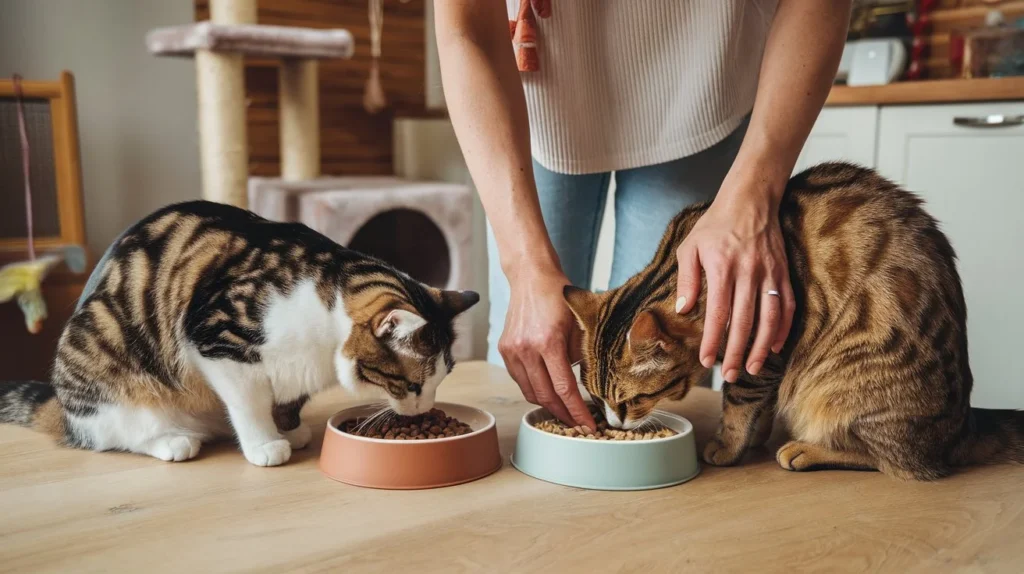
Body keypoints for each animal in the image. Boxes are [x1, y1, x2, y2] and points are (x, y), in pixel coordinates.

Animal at [0, 201, 479, 466]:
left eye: (442, 380)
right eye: (412, 384)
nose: (424, 410)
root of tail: (61, 409)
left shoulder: (295, 371)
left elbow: (286, 400)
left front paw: (289, 431)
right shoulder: (218, 340)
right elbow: (250, 403)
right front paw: (266, 444)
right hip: (106, 356)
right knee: (117, 434)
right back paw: (173, 441)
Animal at [569, 161, 1024, 478]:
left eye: (632, 401)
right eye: (596, 396)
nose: (614, 423)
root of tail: (964, 427)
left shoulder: (763, 345)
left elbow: (738, 401)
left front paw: (728, 445)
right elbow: (760, 403)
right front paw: (754, 438)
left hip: (842, 383)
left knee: (898, 462)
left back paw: (805, 450)